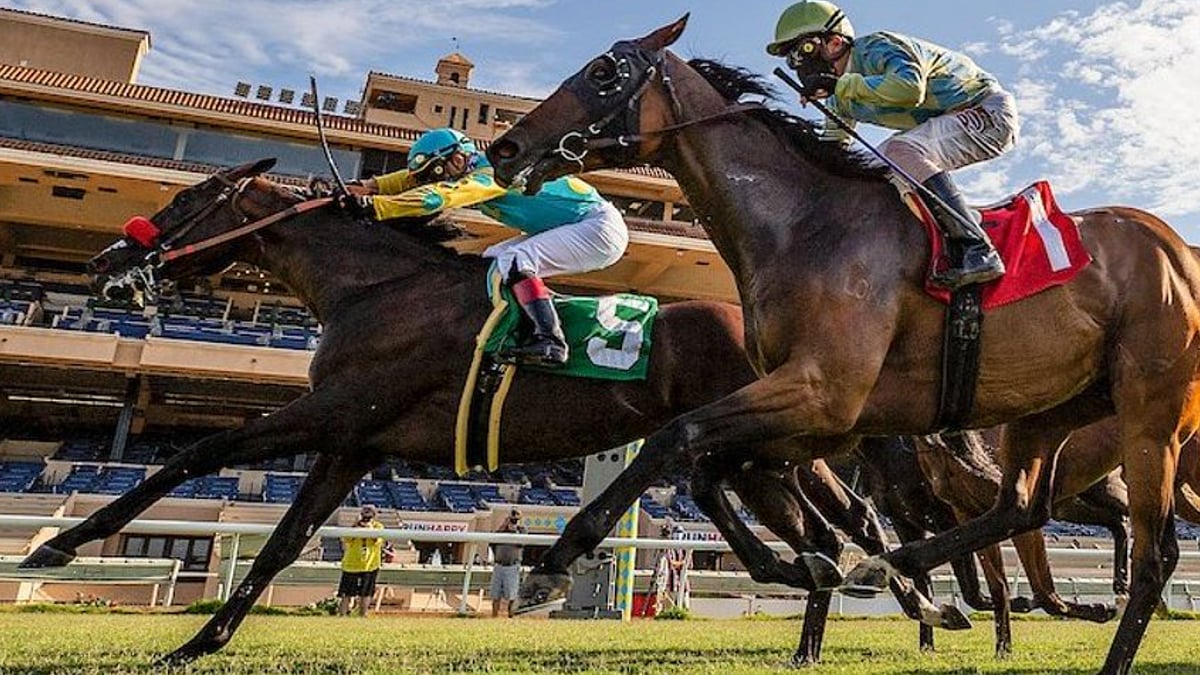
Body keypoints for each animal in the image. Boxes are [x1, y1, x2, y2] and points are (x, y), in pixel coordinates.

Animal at [28, 160, 956, 664]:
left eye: (188, 202)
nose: (107, 262)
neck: (376, 287)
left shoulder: (330, 412)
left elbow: (198, 451)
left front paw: (60, 542)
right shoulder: (356, 442)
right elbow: (284, 540)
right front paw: (196, 642)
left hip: (763, 444)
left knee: (818, 520)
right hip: (768, 455)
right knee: (827, 527)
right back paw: (837, 606)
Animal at [485, 17, 1200, 674]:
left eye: (604, 72)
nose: (506, 148)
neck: (803, 225)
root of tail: (1179, 251)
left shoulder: (822, 392)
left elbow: (676, 437)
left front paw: (554, 562)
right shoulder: (828, 417)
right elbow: (714, 468)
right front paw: (806, 561)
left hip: (1150, 410)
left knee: (1155, 552)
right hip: (1048, 411)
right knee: (1020, 507)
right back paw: (891, 568)